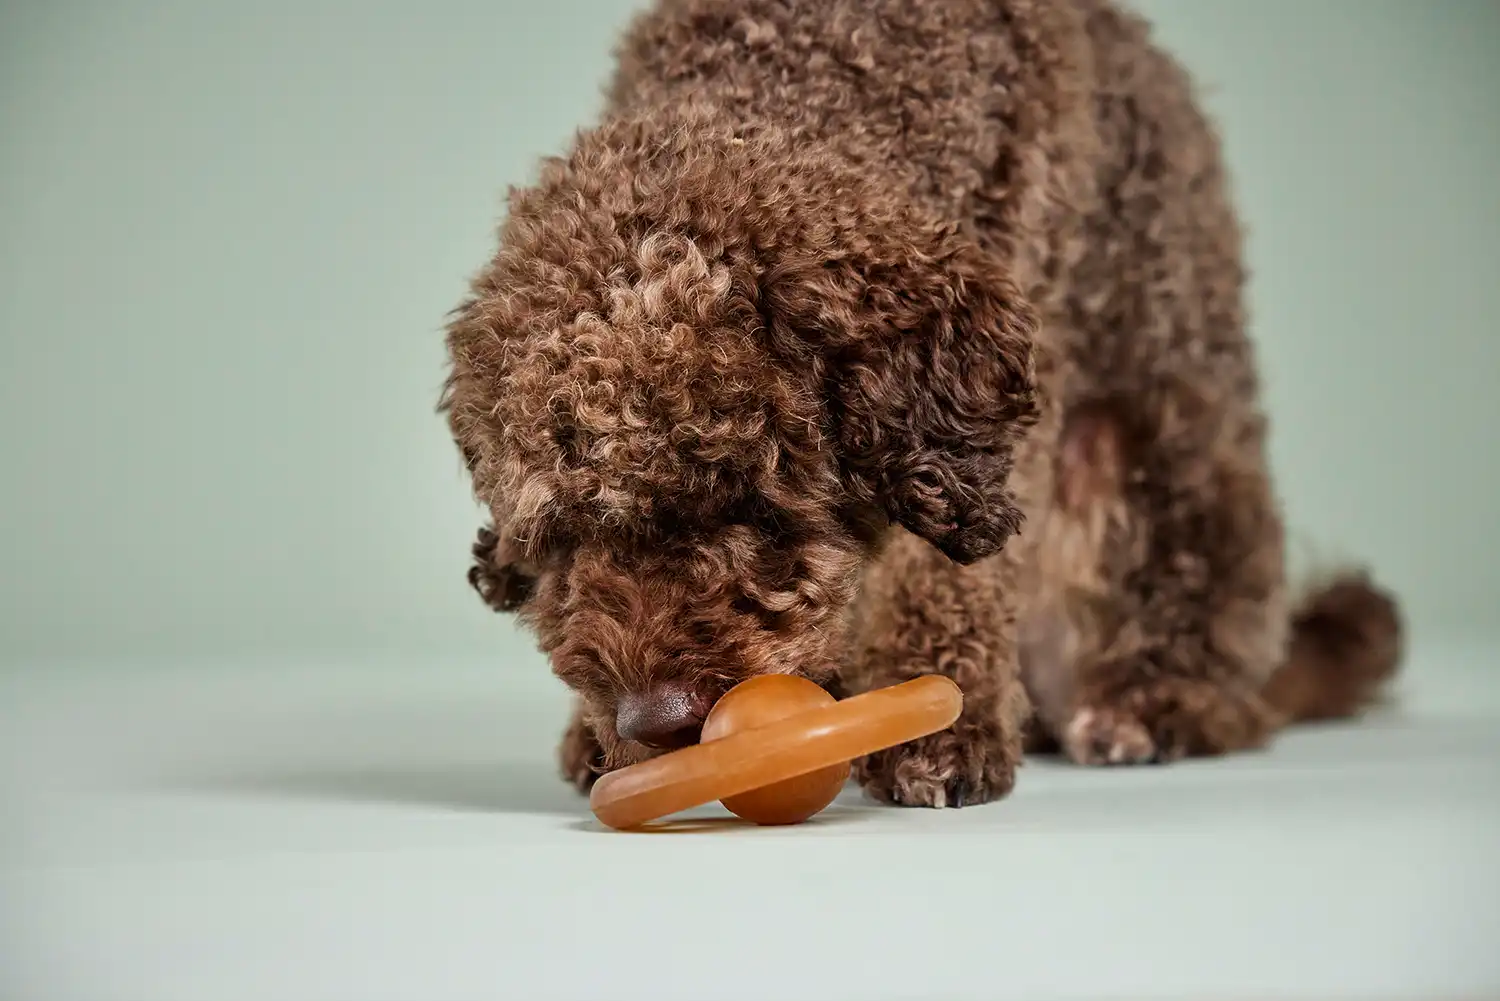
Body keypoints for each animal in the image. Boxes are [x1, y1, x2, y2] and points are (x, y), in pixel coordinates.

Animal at [438, 0, 1398, 804]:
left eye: (755, 499)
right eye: (558, 536)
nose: (656, 722)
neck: (808, 60)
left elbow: (944, 566)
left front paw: (945, 719)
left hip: (1161, 475)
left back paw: (1152, 701)